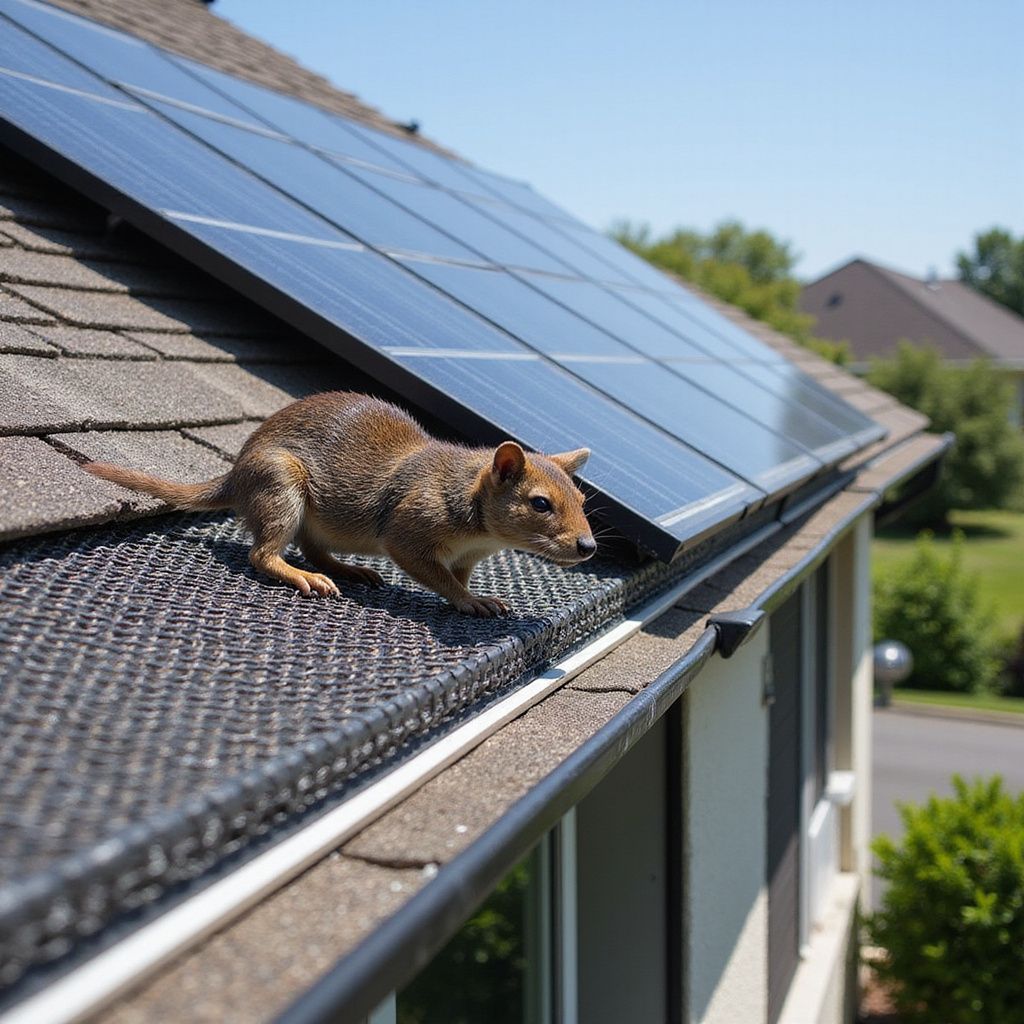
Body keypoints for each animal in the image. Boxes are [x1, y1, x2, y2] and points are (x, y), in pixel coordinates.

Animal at [83, 391, 596, 616]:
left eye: (581, 498)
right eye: (541, 503)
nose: (588, 547)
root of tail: (237, 474)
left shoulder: (467, 556)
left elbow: (458, 574)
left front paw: (478, 594)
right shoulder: (411, 530)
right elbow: (437, 576)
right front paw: (470, 601)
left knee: (312, 548)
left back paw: (346, 569)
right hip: (281, 487)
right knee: (263, 554)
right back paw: (304, 576)